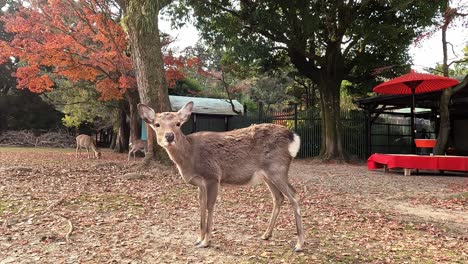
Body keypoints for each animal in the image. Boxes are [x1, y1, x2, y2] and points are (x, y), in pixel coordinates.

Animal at [137, 100, 306, 252]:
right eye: (157, 124)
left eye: (178, 123)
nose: (169, 136)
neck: (190, 158)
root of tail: (293, 137)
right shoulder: (200, 183)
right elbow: (201, 206)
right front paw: (198, 238)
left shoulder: (212, 176)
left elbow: (210, 206)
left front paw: (206, 242)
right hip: (268, 175)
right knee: (278, 197)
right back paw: (266, 234)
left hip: (277, 168)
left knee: (294, 195)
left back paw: (299, 244)